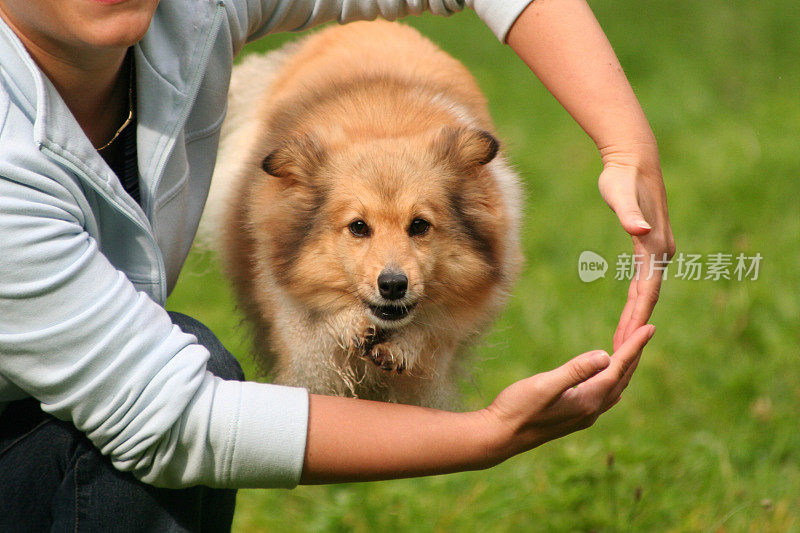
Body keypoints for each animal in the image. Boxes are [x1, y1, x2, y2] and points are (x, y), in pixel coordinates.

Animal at [203, 18, 520, 406]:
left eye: (420, 225)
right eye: (357, 227)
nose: (393, 285)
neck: (384, 126)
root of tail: (371, 23)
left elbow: (433, 331)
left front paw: (403, 347)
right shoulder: (306, 346)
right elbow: (321, 328)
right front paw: (350, 325)